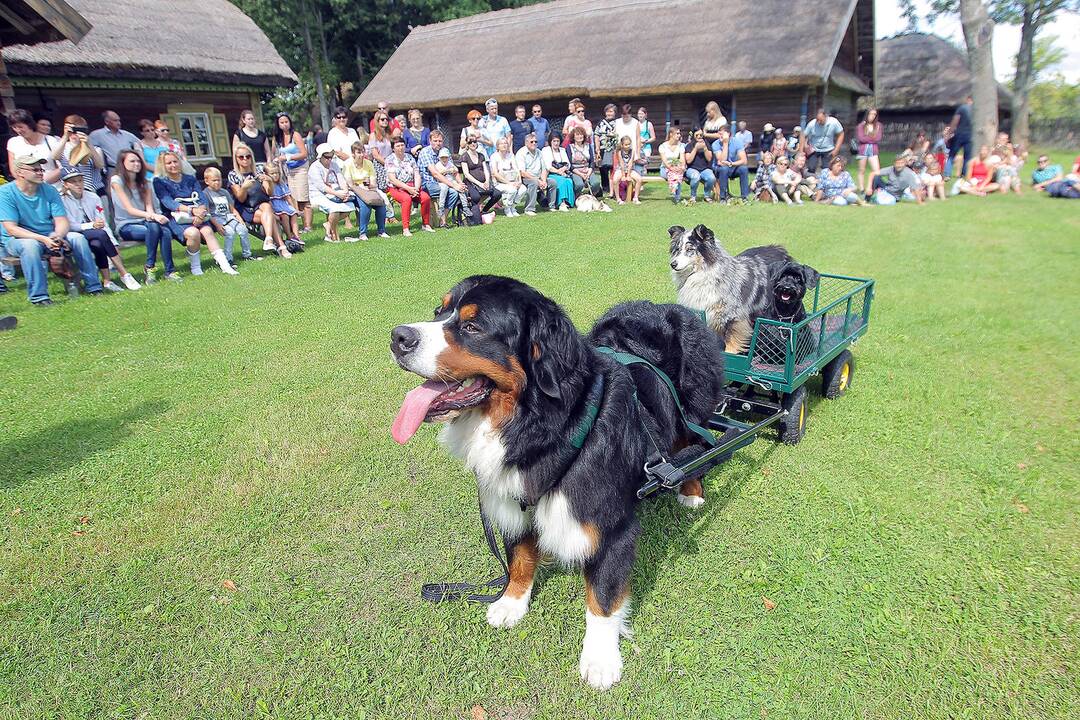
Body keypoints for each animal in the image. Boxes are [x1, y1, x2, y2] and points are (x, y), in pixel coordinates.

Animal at [390, 278, 725, 690]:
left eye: (472, 327)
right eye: (440, 312)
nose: (398, 336)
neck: (542, 427)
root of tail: (668, 307)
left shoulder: (609, 526)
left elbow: (602, 598)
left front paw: (600, 659)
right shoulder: (513, 499)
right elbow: (519, 557)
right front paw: (511, 602)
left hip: (692, 406)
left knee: (695, 443)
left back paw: (690, 492)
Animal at [665, 222, 794, 351]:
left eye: (690, 249)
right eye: (677, 249)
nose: (673, 264)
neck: (704, 275)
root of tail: (781, 249)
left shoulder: (735, 318)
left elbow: (731, 345)